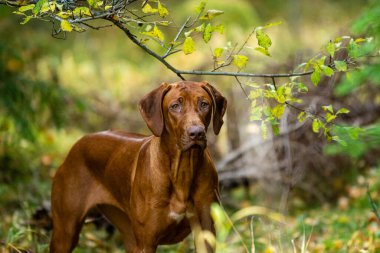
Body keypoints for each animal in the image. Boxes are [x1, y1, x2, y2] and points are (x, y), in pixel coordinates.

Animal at [50, 81, 227, 253]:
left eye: (204, 104)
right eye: (175, 106)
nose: (196, 133)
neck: (183, 170)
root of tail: (77, 145)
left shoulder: (206, 232)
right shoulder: (146, 242)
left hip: (128, 234)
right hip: (66, 231)